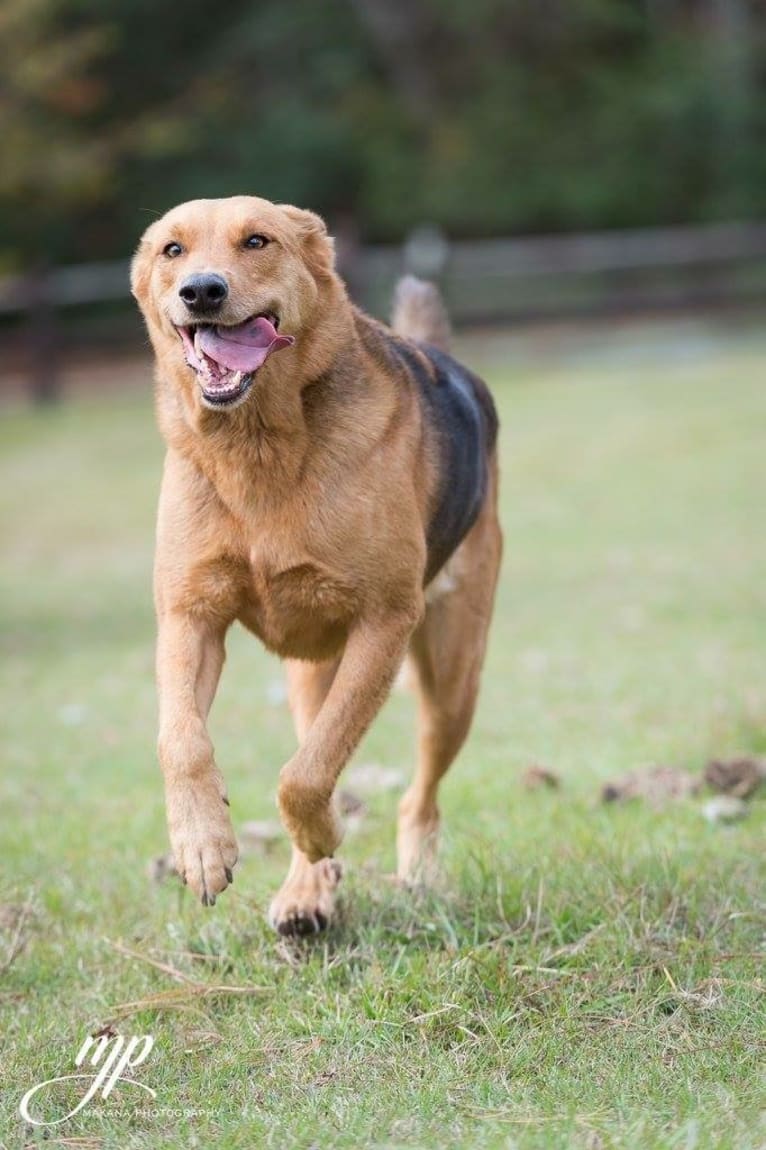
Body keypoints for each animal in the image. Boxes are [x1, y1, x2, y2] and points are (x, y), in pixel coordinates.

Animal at [129, 197, 501, 933]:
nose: (202, 292)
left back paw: (407, 870)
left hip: (453, 679)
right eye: (172, 251)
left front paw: (325, 832)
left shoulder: (384, 622)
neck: (256, 446)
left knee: (415, 789)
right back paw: (307, 892)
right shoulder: (189, 616)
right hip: (313, 674)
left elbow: (305, 777)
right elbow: (182, 741)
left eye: (257, 241)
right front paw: (202, 846)